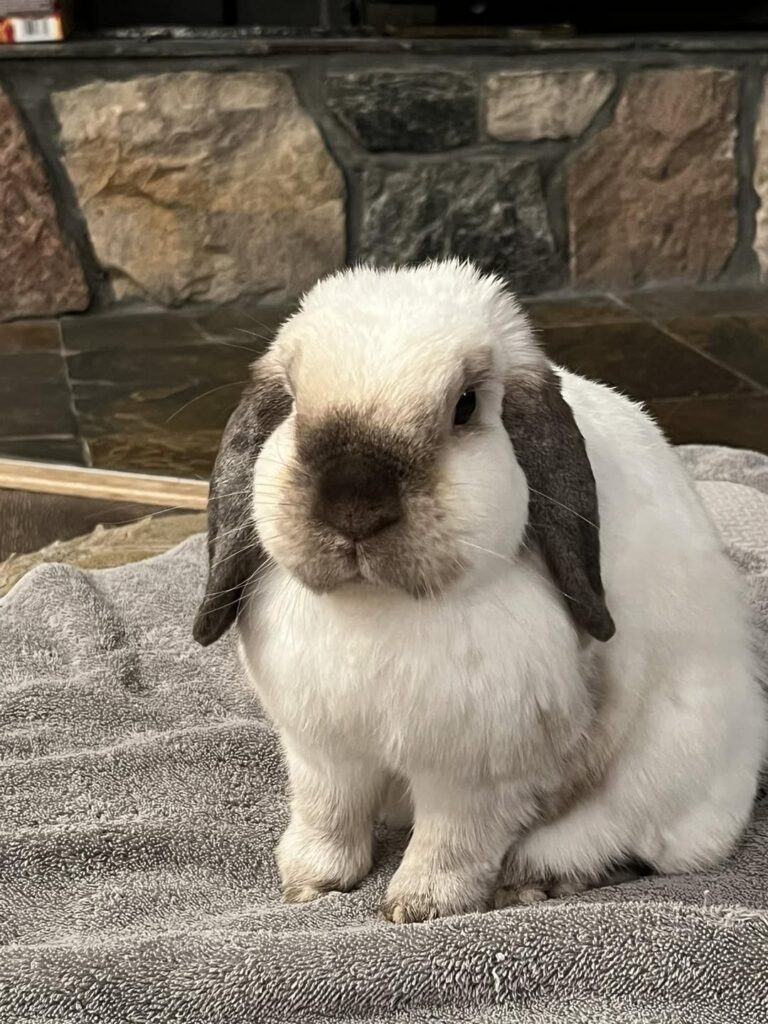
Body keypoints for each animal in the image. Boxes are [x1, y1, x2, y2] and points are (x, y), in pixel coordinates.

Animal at [193, 260, 766, 923]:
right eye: (289, 402)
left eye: (465, 406)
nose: (354, 505)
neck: (378, 607)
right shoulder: (323, 753)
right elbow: (329, 816)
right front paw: (310, 886)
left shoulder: (475, 777)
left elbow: (452, 844)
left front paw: (417, 907)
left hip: (660, 783)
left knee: (620, 846)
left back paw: (532, 883)